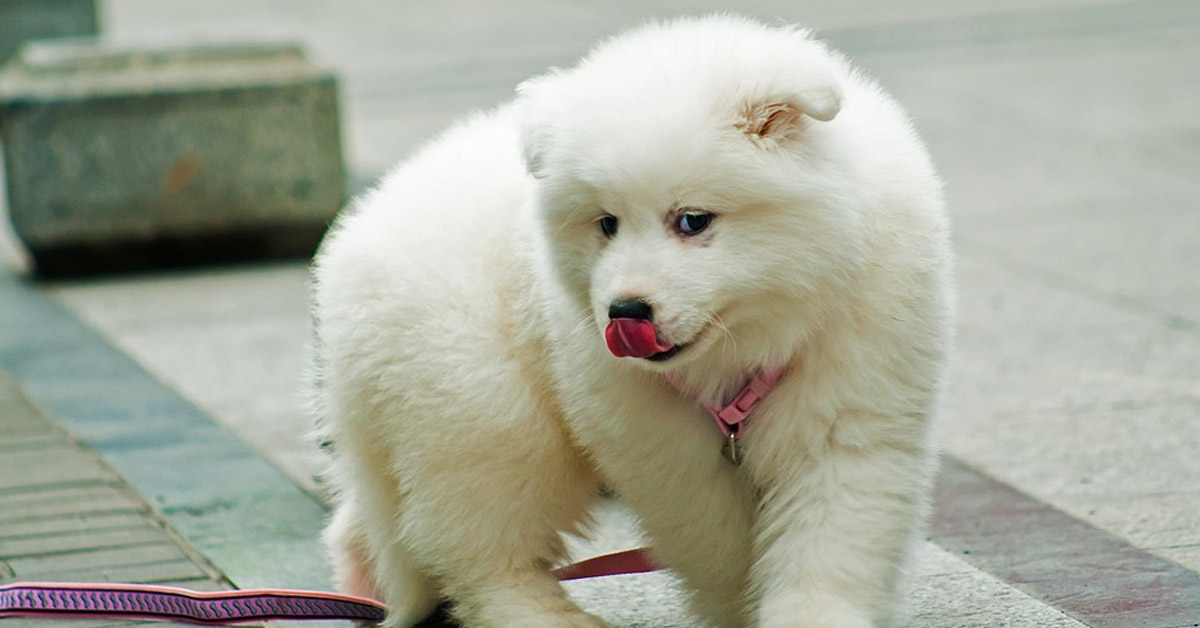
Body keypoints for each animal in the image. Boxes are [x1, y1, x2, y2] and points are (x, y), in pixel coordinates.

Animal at [314, 14, 950, 628]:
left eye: (692, 220)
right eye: (606, 224)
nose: (625, 312)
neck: (747, 343)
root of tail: (350, 245)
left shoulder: (850, 408)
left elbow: (830, 540)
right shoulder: (659, 447)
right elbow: (718, 543)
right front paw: (738, 608)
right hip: (483, 409)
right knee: (479, 545)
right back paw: (547, 617)